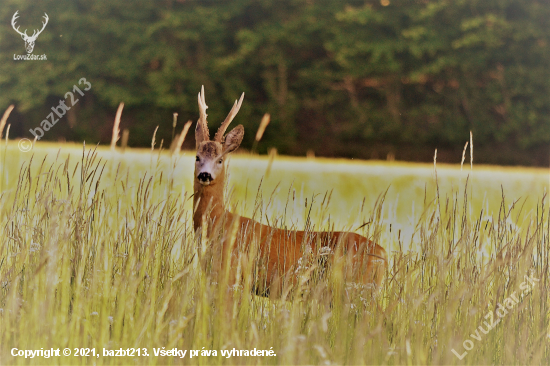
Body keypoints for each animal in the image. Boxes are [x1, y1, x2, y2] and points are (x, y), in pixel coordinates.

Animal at [194, 86, 388, 298]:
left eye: (220, 159)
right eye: (197, 157)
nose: (205, 175)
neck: (218, 222)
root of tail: (384, 255)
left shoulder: (230, 275)